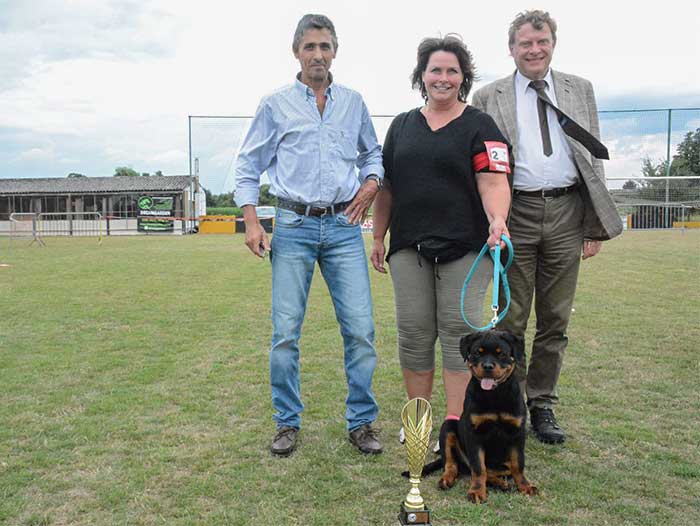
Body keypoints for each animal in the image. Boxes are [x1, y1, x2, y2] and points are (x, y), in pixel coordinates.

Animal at [416, 332, 536, 506]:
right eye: (478, 353)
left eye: (501, 354)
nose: (488, 366)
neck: (495, 395)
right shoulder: (474, 434)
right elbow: (479, 468)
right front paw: (477, 492)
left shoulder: (517, 432)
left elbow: (518, 464)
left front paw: (525, 486)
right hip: (448, 427)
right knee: (453, 464)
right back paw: (447, 479)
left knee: (497, 470)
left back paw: (501, 483)